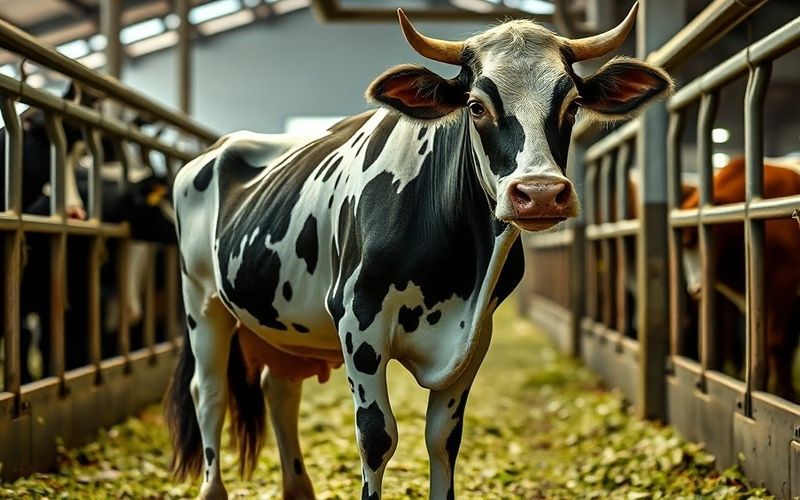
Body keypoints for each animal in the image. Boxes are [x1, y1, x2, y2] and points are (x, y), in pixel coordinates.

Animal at [165, 4, 673, 498]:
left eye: (572, 104)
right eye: (475, 106)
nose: (541, 193)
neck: (458, 272)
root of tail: (217, 147)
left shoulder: (475, 334)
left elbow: (444, 439)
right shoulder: (358, 320)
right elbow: (376, 437)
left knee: (280, 387)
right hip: (200, 302)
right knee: (208, 393)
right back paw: (212, 488)